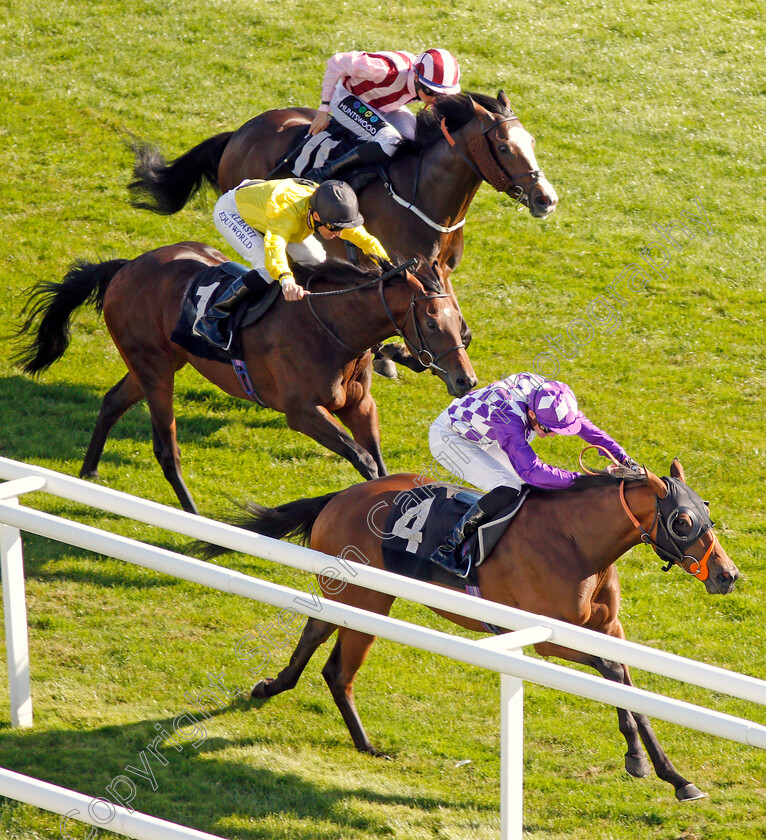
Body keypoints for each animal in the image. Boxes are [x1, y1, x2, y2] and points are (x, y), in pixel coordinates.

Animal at [15, 243, 476, 516]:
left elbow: (377, 462)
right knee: (166, 448)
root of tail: (127, 267)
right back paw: (194, 517)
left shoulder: (359, 405)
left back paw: (88, 473)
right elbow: (362, 458)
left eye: (459, 321)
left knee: (111, 401)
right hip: (155, 369)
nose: (465, 381)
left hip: (156, 363)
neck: (330, 325)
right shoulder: (302, 412)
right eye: (431, 322)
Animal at [130, 89, 560, 370]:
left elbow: (456, 324)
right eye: (503, 147)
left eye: (531, 140)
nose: (546, 199)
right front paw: (392, 354)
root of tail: (241, 132)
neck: (423, 195)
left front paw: (405, 352)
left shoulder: (438, 270)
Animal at [213, 460, 740, 800]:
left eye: (708, 511)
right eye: (683, 520)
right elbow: (612, 674)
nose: (728, 575)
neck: (576, 543)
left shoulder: (609, 628)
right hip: (365, 596)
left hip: (357, 595)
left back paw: (281, 693)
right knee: (337, 669)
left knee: (318, 642)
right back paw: (363, 742)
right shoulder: (548, 639)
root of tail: (340, 495)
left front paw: (673, 775)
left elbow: (629, 687)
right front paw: (642, 763)